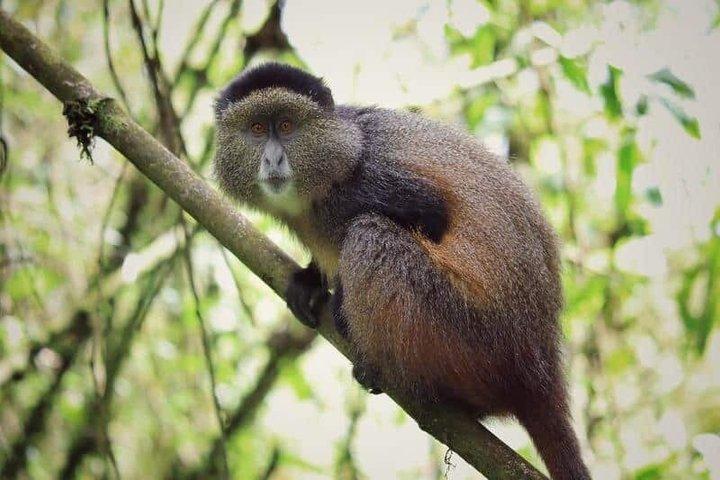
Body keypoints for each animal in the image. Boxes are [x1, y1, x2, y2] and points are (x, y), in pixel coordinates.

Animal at [213, 62, 591, 480]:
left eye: (286, 125)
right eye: (257, 129)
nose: (273, 160)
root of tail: (541, 366)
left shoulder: (367, 182)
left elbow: (430, 213)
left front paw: (338, 300)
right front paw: (308, 282)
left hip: (474, 338)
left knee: (370, 232)